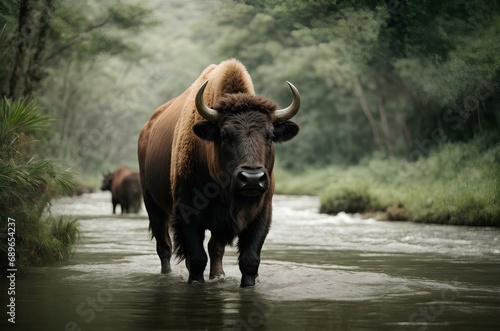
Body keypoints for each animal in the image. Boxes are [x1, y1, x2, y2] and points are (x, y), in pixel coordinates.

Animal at [138, 59, 300, 288]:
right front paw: (196, 281)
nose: (252, 179)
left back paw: (218, 275)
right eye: (224, 135)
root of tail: (146, 130)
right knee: (165, 248)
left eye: (269, 136)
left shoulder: (261, 215)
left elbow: (249, 260)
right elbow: (197, 259)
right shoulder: (187, 215)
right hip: (153, 204)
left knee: (215, 248)